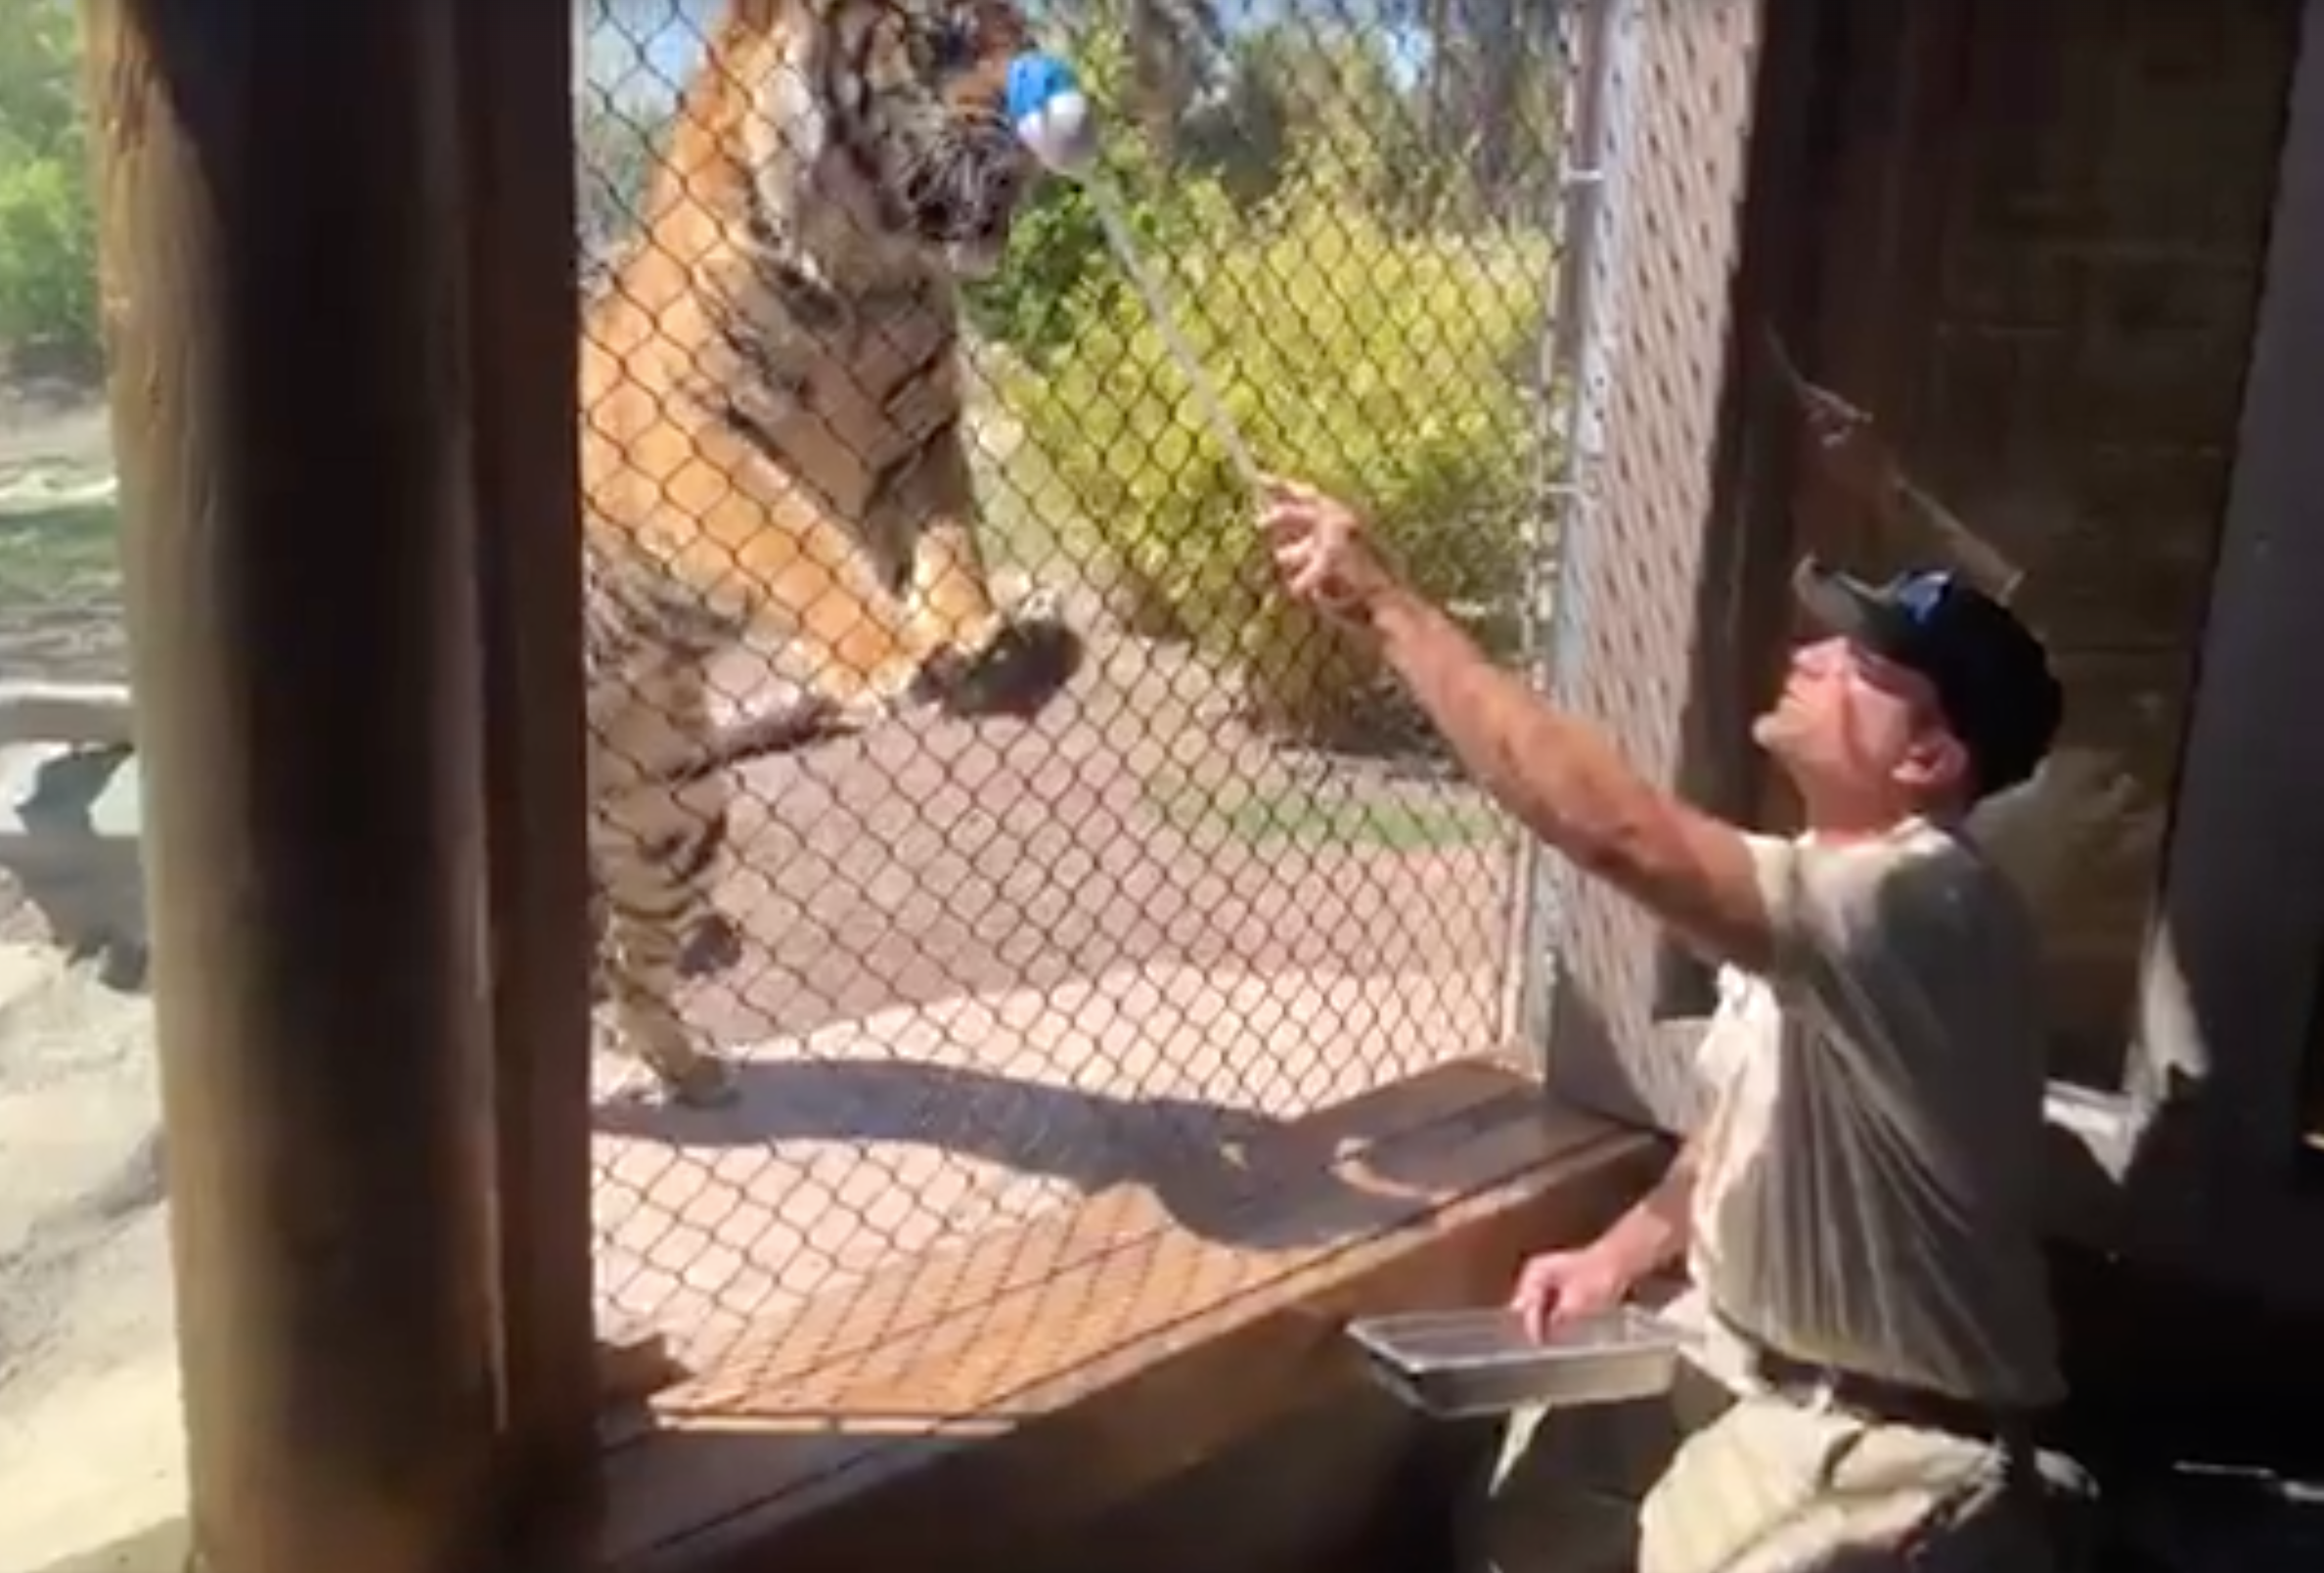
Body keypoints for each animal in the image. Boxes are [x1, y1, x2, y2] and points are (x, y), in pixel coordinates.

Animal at [578, 0, 1082, 1107]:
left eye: (1020, 23)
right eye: (942, 36)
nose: (1040, 132)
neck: (867, 278)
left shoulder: (914, 442)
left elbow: (951, 542)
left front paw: (974, 635)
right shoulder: (695, 435)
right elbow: (793, 547)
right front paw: (887, 656)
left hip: (673, 817)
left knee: (635, 966)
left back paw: (692, 1074)